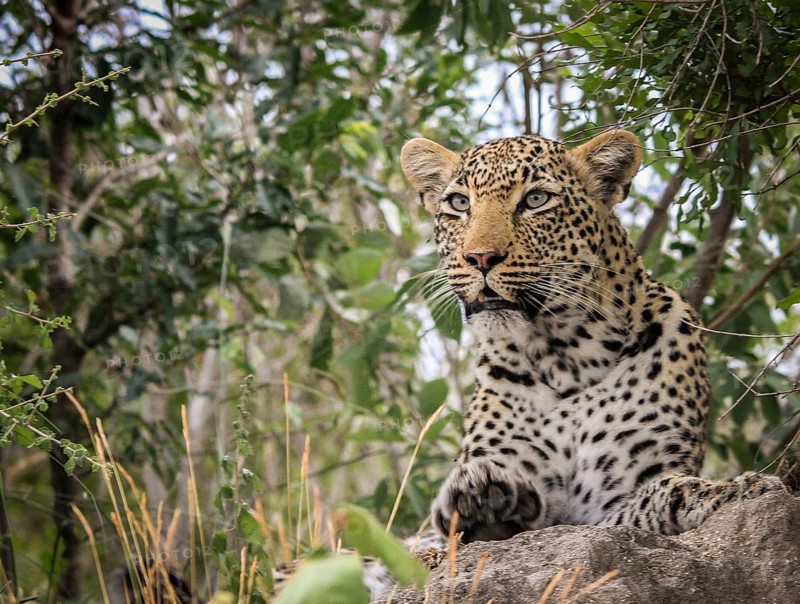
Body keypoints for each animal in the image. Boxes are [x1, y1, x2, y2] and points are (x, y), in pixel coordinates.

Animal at [399, 129, 787, 544]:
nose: (480, 257)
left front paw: (739, 489)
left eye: (536, 200)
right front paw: (481, 498)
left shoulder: (608, 506)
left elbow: (667, 491)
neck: (565, 353)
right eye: (459, 203)